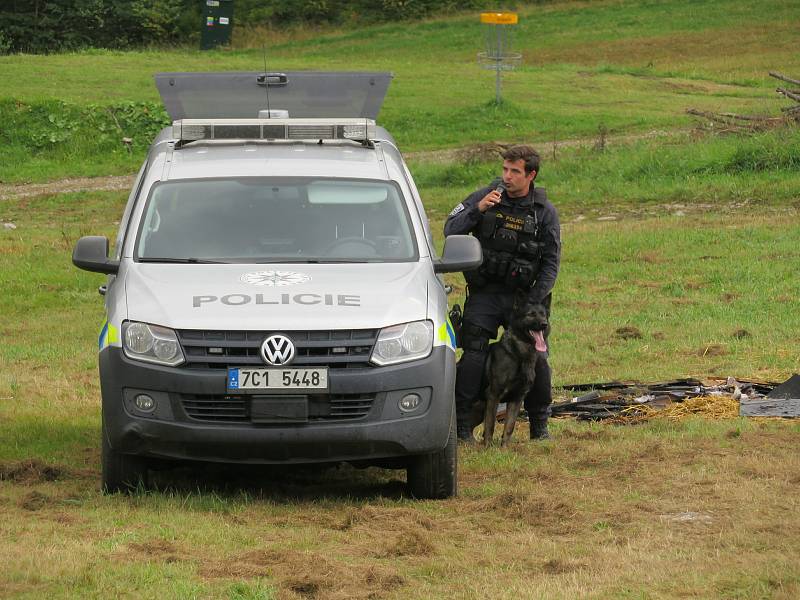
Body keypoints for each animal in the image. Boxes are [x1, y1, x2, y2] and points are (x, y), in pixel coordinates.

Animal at [482, 296, 552, 446]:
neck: (519, 355)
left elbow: (509, 427)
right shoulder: (494, 395)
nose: (544, 324)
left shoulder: (517, 399)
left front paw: (504, 448)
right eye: (531, 314)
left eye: (544, 315)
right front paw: (488, 448)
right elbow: (490, 425)